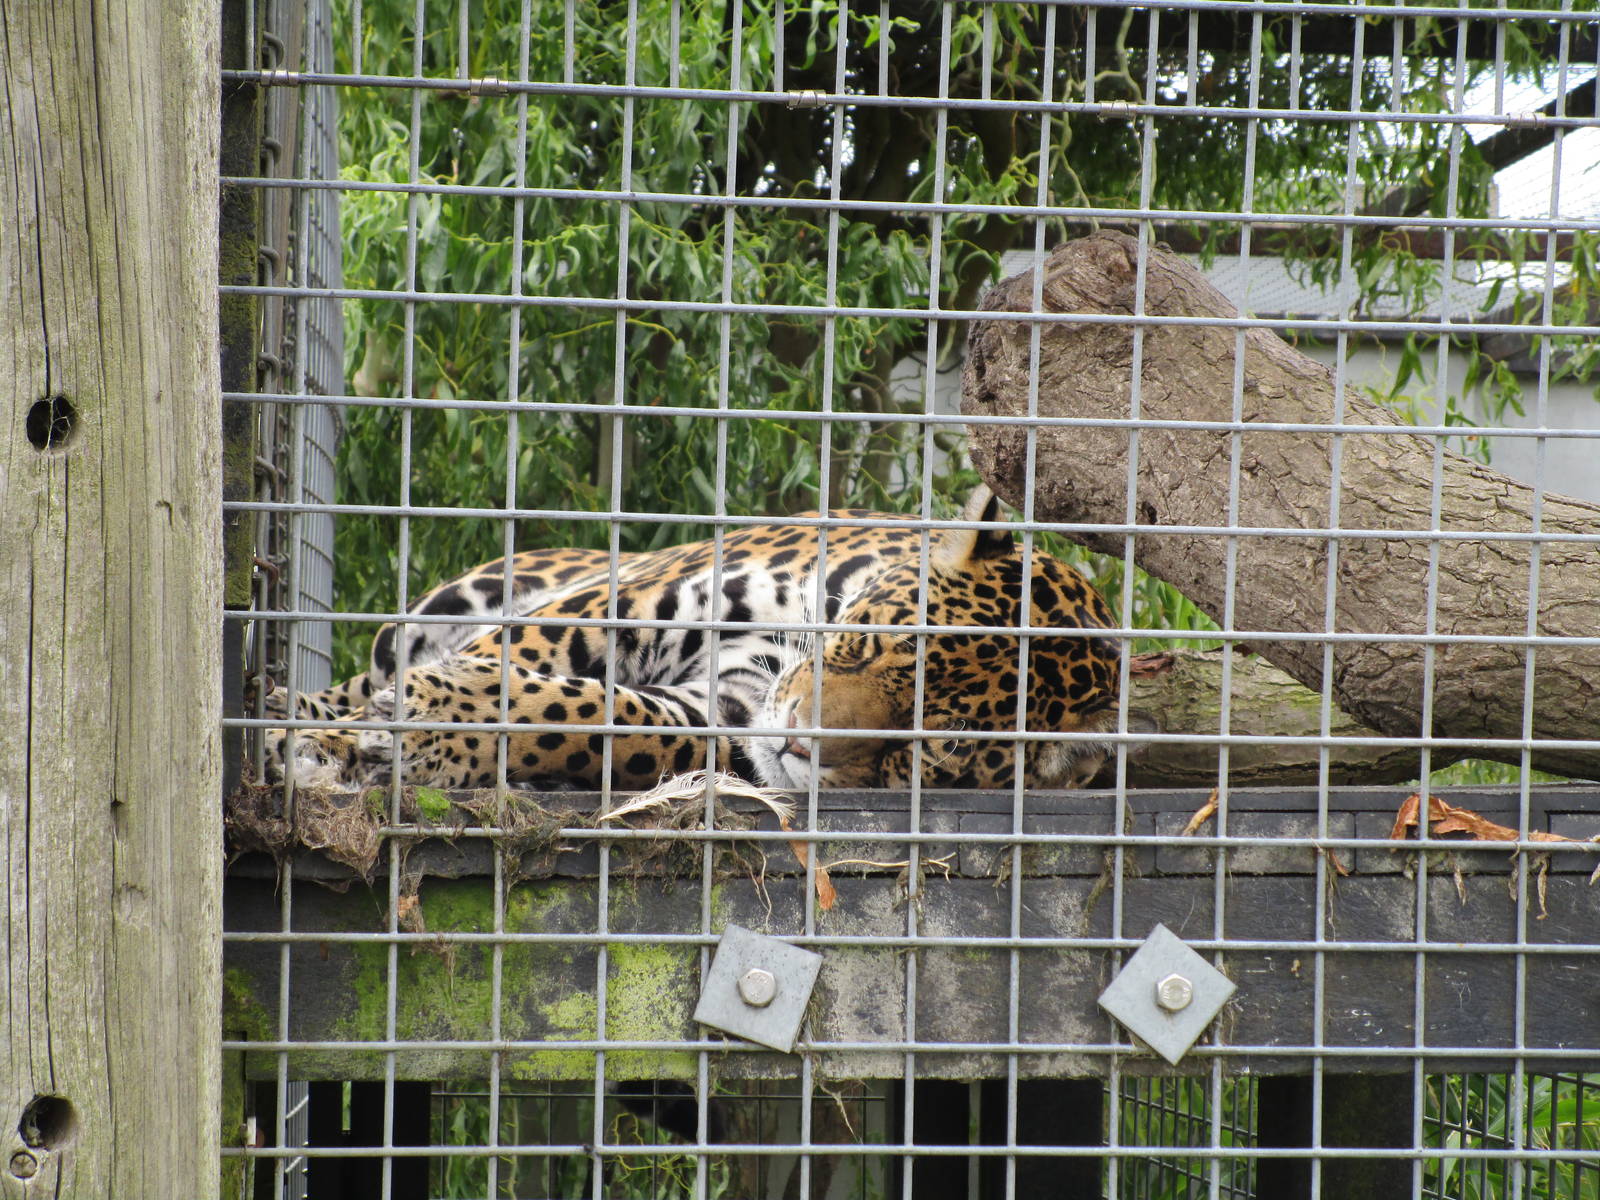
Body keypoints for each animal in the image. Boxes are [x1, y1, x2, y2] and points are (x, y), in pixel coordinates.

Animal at [262, 486, 1140, 793]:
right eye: (865, 643)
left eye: (936, 746)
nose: (795, 746)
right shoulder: (626, 601)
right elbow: (522, 662)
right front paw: (372, 727)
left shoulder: (726, 708)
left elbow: (597, 720)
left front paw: (437, 733)